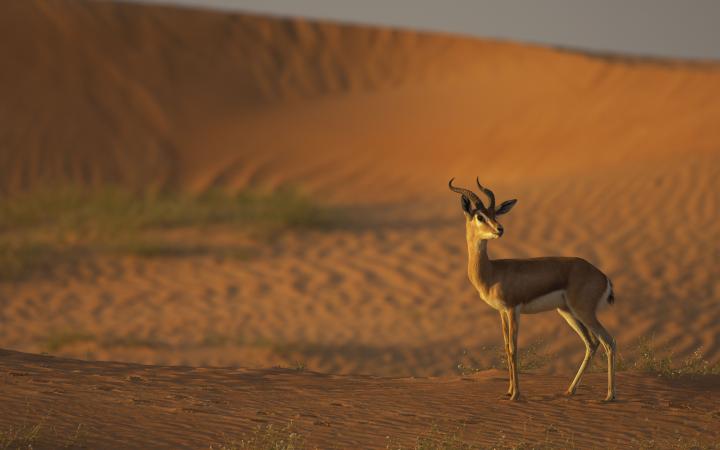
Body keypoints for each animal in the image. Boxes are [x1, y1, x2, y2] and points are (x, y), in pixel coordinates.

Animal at [449, 178, 616, 401]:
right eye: (480, 216)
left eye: (494, 214)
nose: (500, 229)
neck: (493, 271)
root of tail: (602, 276)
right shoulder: (502, 312)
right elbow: (506, 347)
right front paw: (508, 391)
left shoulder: (514, 309)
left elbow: (513, 349)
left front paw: (516, 394)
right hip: (567, 312)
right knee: (592, 344)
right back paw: (570, 390)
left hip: (584, 312)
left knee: (609, 342)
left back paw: (610, 396)